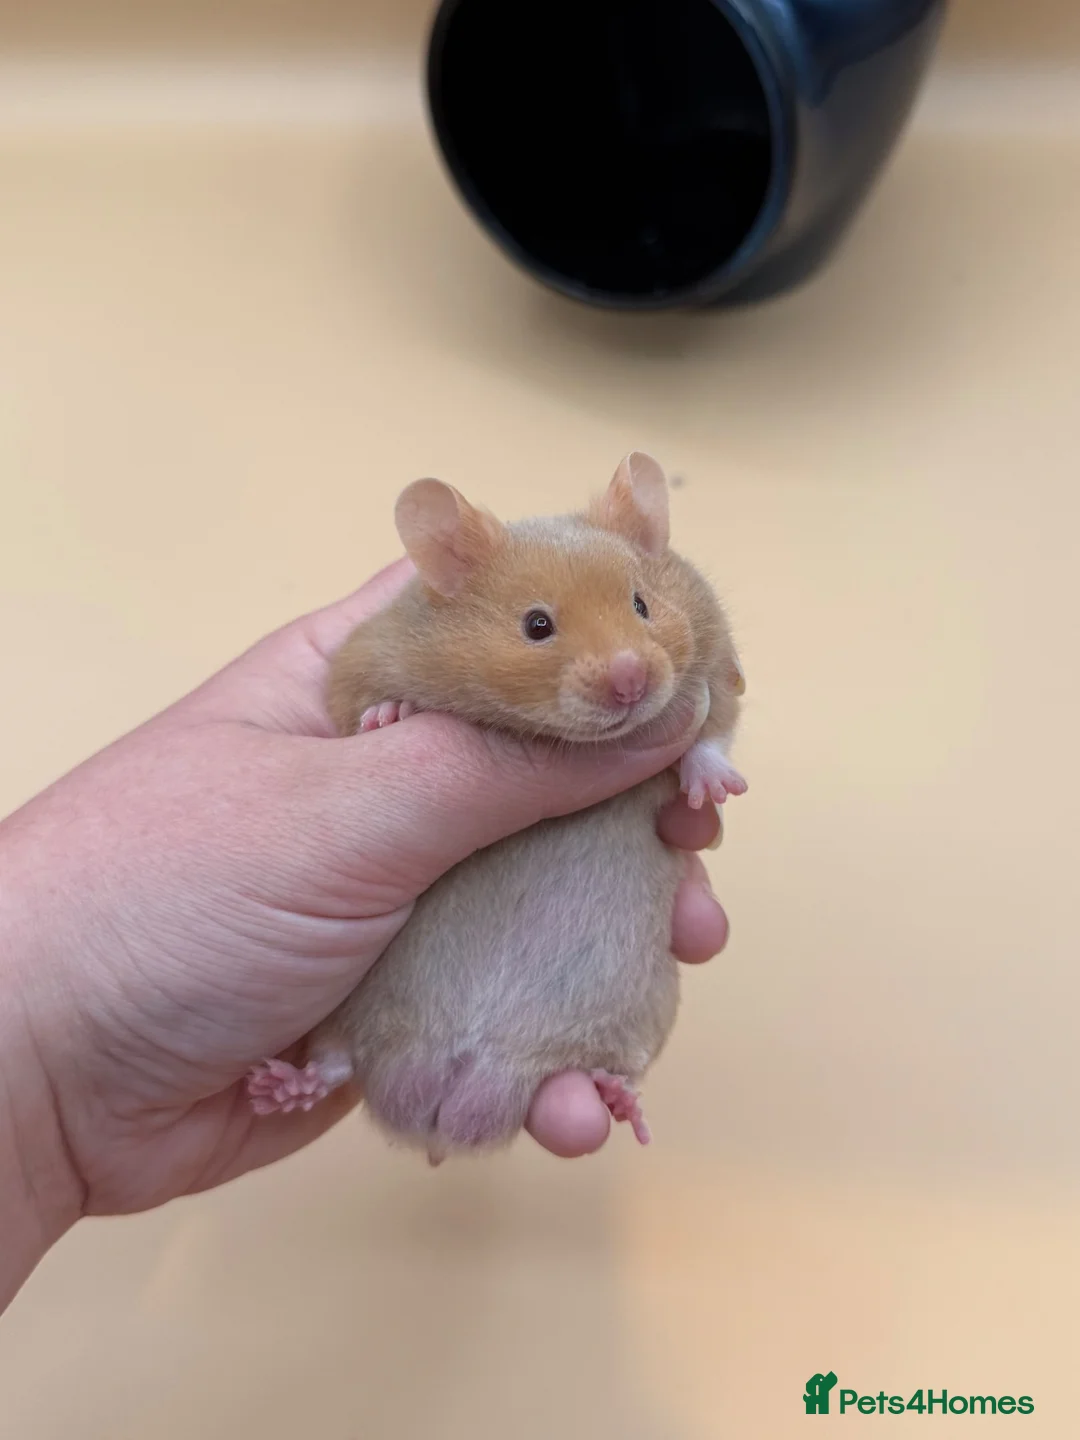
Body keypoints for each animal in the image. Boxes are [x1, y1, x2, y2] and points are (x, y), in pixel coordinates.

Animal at [248, 453, 746, 1163]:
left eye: (642, 604)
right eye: (537, 625)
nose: (633, 680)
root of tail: (445, 1105)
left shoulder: (718, 665)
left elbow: (711, 729)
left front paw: (713, 793)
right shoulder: (359, 663)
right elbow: (362, 709)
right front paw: (390, 716)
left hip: (640, 1014)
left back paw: (618, 1098)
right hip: (346, 1015)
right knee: (337, 1062)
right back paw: (274, 1089)